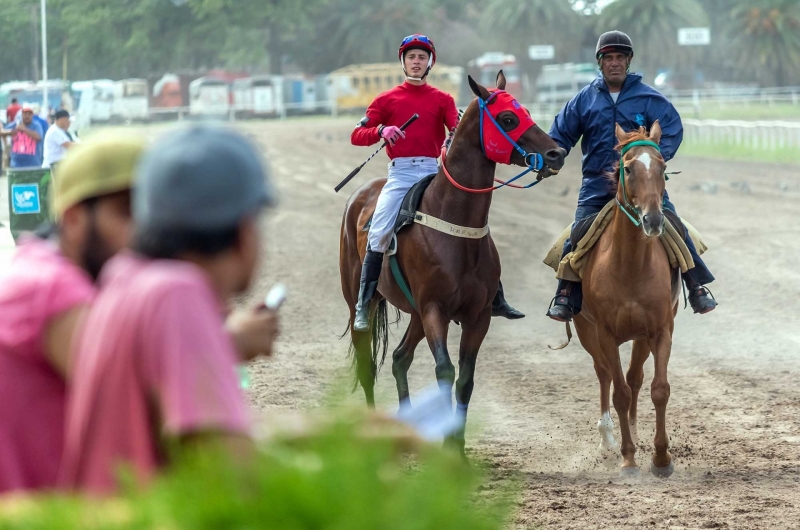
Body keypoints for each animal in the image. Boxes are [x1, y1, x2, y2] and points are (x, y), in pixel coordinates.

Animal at [340, 71, 564, 454]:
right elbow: (445, 372)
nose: (557, 153)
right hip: (361, 301)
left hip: (415, 313)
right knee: (368, 363)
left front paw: (457, 448)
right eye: (508, 118)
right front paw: (448, 449)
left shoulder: (477, 316)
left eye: (527, 111)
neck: (455, 227)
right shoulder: (435, 309)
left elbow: (466, 379)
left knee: (399, 359)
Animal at [576, 121, 680, 476]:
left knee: (635, 377)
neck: (631, 266)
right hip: (586, 331)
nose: (653, 220)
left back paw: (633, 429)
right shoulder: (605, 333)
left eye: (662, 168)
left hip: (640, 337)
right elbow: (618, 392)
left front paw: (661, 457)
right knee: (605, 374)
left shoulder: (660, 329)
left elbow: (658, 389)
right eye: (629, 168)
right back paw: (607, 437)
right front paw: (628, 456)